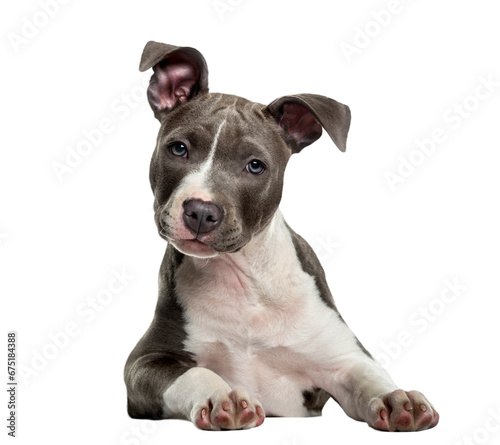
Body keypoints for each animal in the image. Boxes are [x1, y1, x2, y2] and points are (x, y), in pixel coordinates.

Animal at [124, 40, 438, 430]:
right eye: (179, 148)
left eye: (255, 166)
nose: (201, 211)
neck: (241, 277)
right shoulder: (144, 362)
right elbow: (193, 373)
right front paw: (221, 395)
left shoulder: (344, 358)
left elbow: (368, 377)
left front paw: (397, 399)